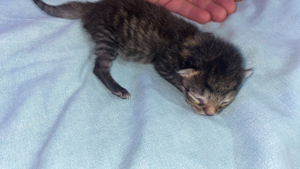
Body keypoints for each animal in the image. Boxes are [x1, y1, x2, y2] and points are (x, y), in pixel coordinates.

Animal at [32, 0, 252, 115]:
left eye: (225, 102)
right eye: (199, 98)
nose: (210, 113)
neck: (194, 42)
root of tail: (96, 7)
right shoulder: (163, 62)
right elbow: (176, 80)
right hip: (107, 36)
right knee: (100, 67)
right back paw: (118, 89)